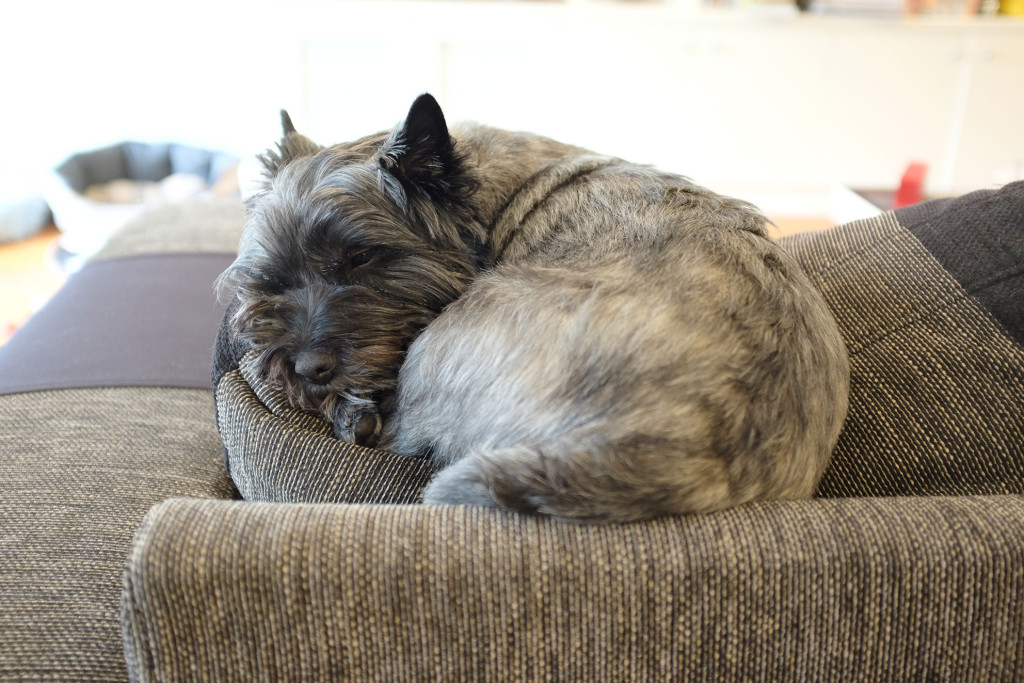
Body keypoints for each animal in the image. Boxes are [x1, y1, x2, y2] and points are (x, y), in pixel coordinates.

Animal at [220, 94, 851, 524]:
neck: (487, 194)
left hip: (443, 343)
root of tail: (666, 454)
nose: (307, 370)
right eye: (274, 276)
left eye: (362, 257)